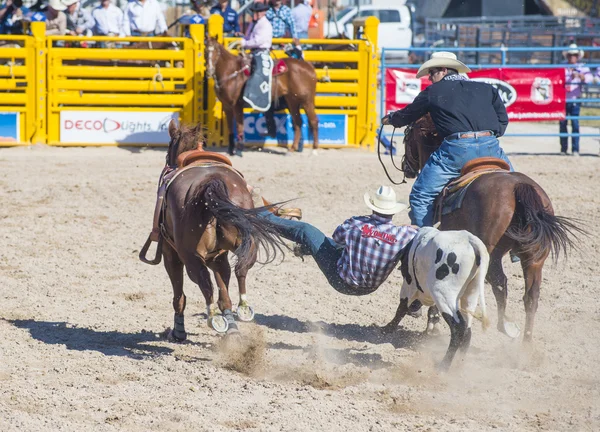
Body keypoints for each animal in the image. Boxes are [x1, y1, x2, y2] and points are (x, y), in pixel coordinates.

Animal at [156, 120, 284, 338]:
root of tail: (211, 183)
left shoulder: (170, 253)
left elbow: (179, 295)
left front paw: (178, 331)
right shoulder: (218, 256)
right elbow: (224, 291)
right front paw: (231, 325)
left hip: (189, 256)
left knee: (204, 281)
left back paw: (213, 318)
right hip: (247, 242)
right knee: (241, 268)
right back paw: (242, 308)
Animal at [382, 115, 584, 344]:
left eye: (407, 137)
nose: (406, 166)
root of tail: (518, 187)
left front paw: (430, 322)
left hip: (491, 253)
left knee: (500, 283)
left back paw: (506, 326)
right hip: (535, 258)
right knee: (531, 297)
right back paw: (526, 346)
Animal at [386, 228, 490, 370]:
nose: (415, 309)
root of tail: (471, 240)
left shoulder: (409, 284)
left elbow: (402, 306)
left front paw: (388, 328)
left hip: (443, 294)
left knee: (458, 327)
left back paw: (444, 366)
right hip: (471, 295)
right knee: (467, 330)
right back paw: (458, 365)